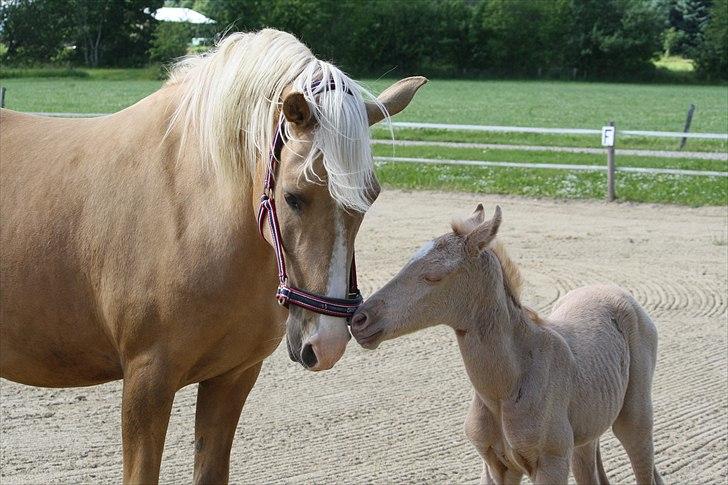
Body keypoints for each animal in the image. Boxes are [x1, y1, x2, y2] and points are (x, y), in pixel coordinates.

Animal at [0, 29, 426, 480]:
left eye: (370, 197)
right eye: (293, 197)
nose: (325, 343)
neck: (190, 207)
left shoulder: (232, 378)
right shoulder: (147, 381)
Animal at [350, 205, 664, 484]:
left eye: (433, 276)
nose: (360, 319)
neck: (507, 387)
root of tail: (619, 292)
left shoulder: (550, 464)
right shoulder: (496, 466)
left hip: (633, 422)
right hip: (585, 437)